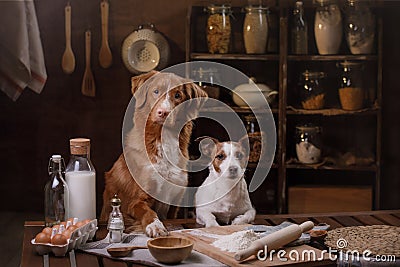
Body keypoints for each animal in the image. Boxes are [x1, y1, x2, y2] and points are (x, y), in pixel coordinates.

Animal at [100, 70, 208, 238]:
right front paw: (155, 226)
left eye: (178, 95)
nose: (163, 113)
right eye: (156, 91)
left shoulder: (174, 204)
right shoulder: (137, 201)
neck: (162, 141)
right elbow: (148, 212)